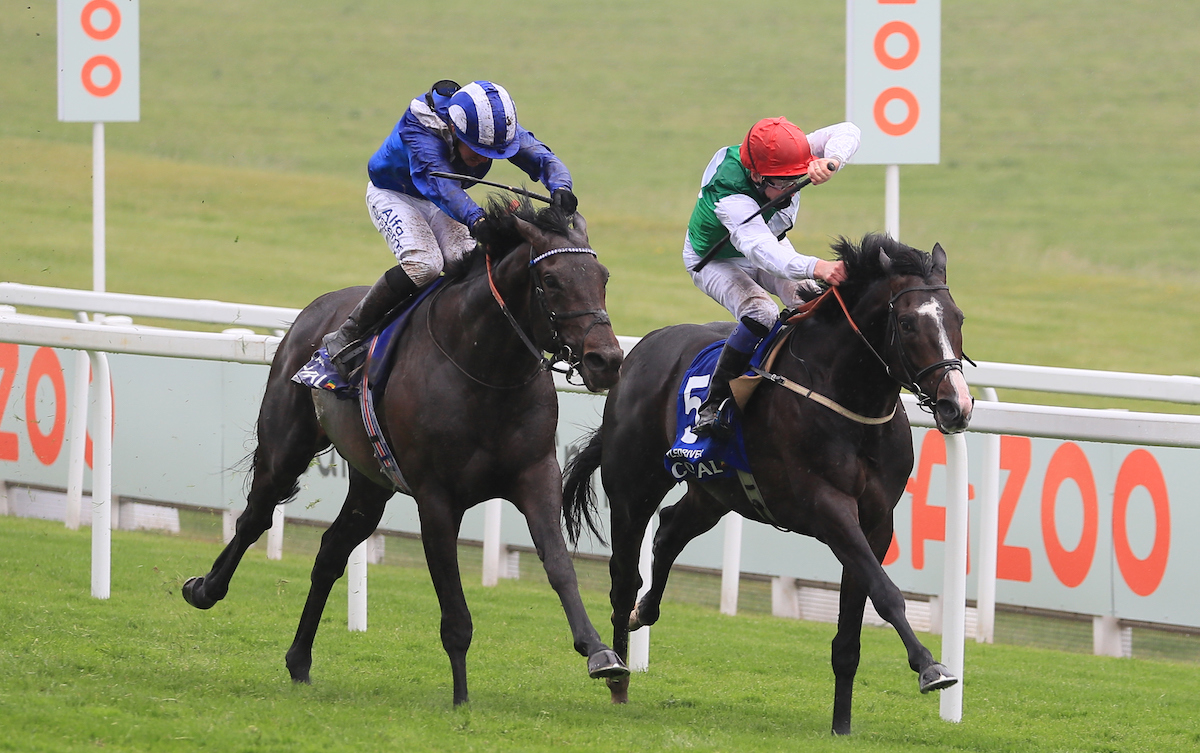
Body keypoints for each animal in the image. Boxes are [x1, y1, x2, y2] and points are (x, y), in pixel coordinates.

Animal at [180, 200, 628, 705]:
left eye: (603, 277)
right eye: (550, 280)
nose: (606, 360)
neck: (485, 368)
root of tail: (314, 310)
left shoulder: (535, 475)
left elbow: (558, 565)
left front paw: (601, 653)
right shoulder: (436, 498)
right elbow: (454, 608)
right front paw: (461, 699)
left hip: (371, 483)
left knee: (330, 552)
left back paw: (299, 660)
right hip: (285, 446)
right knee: (255, 517)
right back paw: (205, 589)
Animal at [561, 233, 974, 733]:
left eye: (957, 318)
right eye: (909, 323)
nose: (957, 405)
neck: (844, 397)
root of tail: (640, 349)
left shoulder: (877, 522)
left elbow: (853, 626)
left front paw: (841, 725)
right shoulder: (827, 507)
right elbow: (888, 594)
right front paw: (931, 667)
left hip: (714, 492)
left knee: (670, 529)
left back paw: (648, 609)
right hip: (632, 485)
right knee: (624, 576)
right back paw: (617, 675)